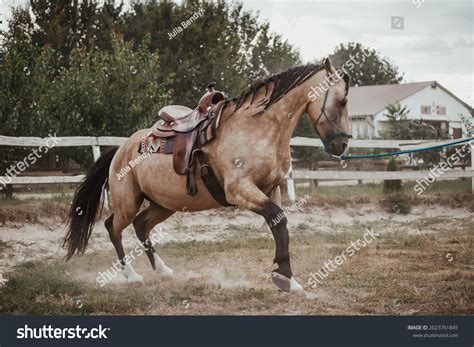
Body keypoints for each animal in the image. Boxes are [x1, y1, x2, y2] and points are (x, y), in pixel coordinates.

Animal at [65, 59, 350, 294]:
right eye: (343, 101)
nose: (343, 145)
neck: (256, 127)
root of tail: (120, 150)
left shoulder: (271, 189)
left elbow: (278, 224)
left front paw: (287, 278)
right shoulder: (240, 190)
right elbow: (278, 221)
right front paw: (285, 278)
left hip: (164, 204)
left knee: (141, 226)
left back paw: (163, 270)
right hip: (128, 203)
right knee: (113, 228)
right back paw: (132, 276)